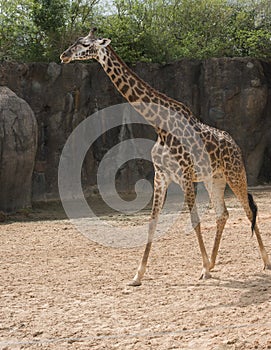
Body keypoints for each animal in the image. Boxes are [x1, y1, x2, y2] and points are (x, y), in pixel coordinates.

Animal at [60, 28, 270, 286]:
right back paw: (213, 263)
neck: (160, 127)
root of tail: (234, 144)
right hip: (214, 179)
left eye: (85, 44)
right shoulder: (161, 176)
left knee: (249, 210)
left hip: (235, 173)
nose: (64, 55)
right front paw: (138, 274)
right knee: (223, 214)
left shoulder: (185, 176)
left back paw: (264, 262)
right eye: (76, 41)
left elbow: (194, 220)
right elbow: (152, 222)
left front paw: (203, 269)